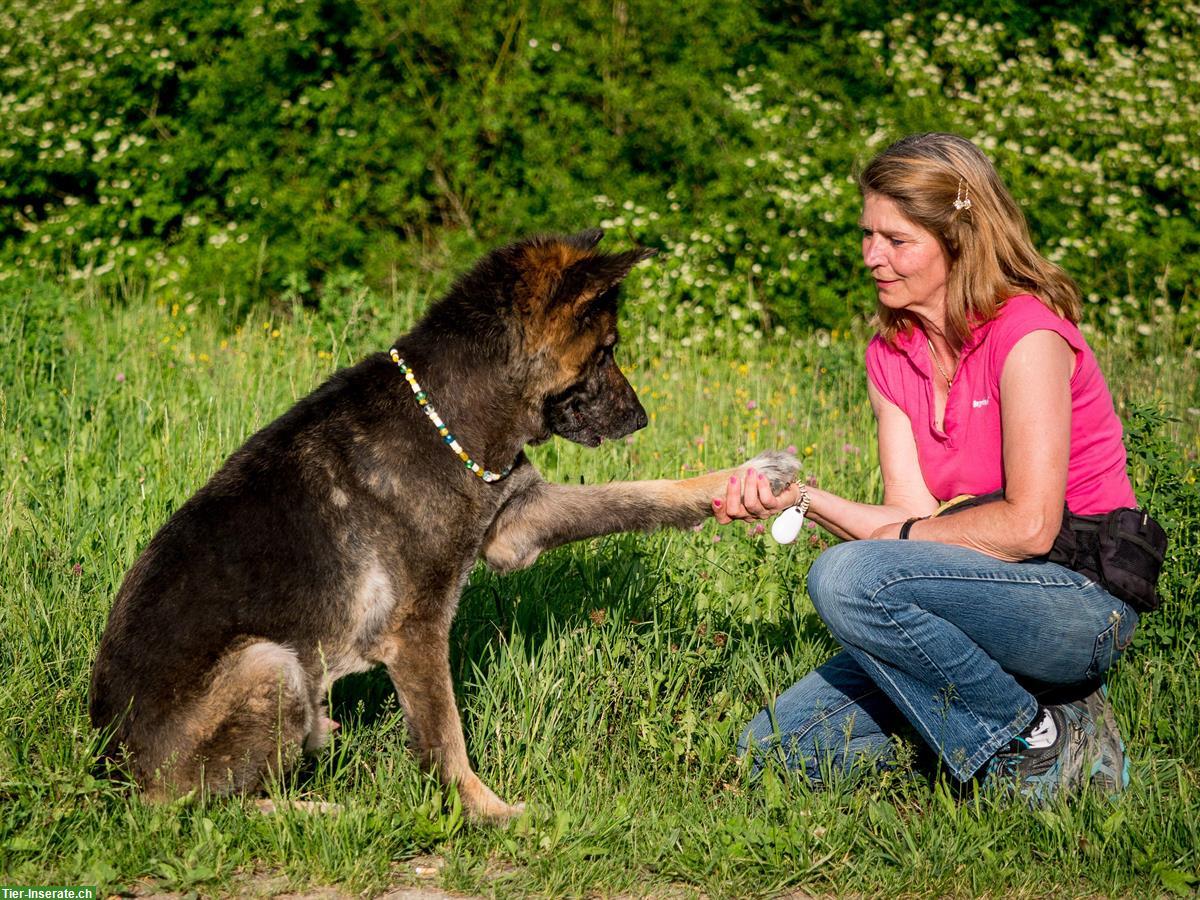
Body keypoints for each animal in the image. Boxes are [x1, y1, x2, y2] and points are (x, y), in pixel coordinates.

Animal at [91, 229, 796, 820]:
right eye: (607, 351)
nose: (642, 418)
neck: (447, 410)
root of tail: (112, 774)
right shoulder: (417, 630)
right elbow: (444, 736)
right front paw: (489, 814)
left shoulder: (518, 522)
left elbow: (638, 495)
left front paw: (750, 477)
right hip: (270, 663)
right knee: (215, 808)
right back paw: (323, 812)